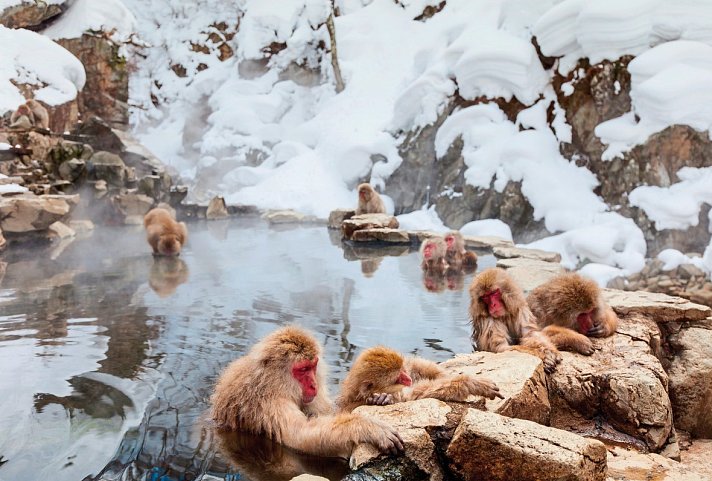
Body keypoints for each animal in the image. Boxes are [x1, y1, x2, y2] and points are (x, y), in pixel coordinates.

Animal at [211, 326, 404, 458]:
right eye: (302, 370)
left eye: (312, 366)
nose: (313, 384)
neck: (271, 383)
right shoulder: (271, 403)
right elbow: (300, 437)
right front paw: (368, 427)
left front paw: (379, 399)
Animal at [336, 346, 502, 412]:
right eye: (398, 378)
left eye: (402, 371)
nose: (408, 379)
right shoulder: (398, 393)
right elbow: (419, 395)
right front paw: (473, 383)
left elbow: (417, 366)